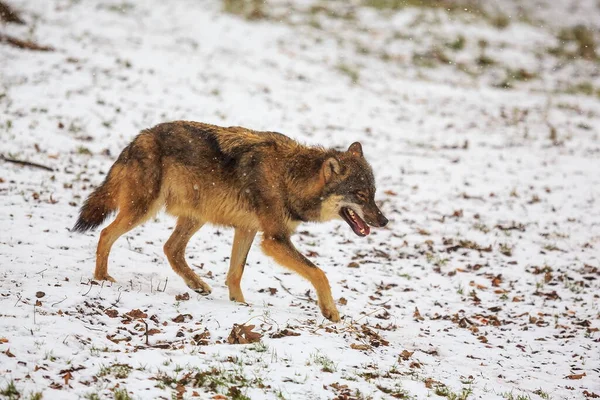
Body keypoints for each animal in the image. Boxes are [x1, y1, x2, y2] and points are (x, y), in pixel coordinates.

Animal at [72, 122, 390, 322]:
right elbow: (319, 273)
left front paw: (240, 304)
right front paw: (331, 312)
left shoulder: (247, 229)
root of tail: (139, 137)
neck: (290, 177)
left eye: (373, 194)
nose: (384, 221)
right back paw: (102, 278)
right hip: (144, 210)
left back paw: (197, 284)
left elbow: (235, 273)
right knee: (106, 234)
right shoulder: (274, 239)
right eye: (360, 195)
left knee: (170, 249)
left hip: (195, 216)